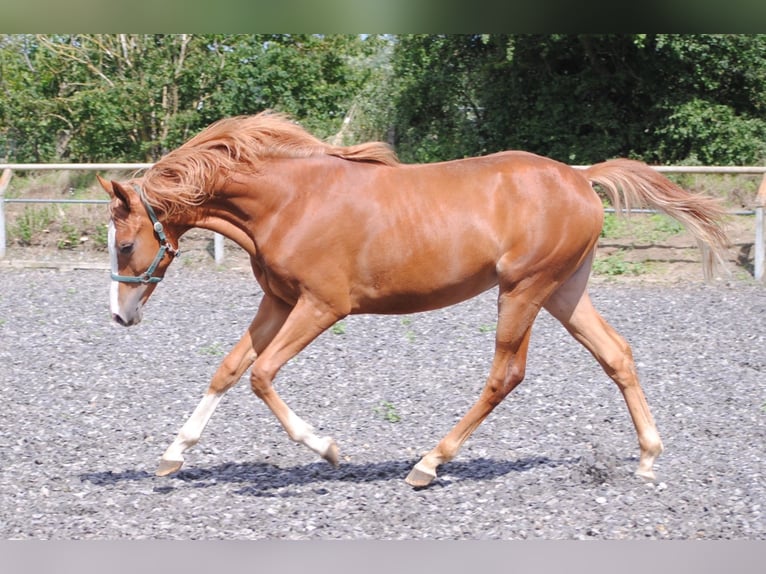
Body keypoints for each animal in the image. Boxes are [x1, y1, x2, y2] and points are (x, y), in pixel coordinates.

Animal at [99, 110, 728, 488]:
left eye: (126, 244)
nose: (120, 314)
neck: (288, 203)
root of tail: (581, 177)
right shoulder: (277, 302)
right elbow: (229, 370)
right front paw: (173, 455)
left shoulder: (323, 306)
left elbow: (262, 375)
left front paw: (327, 448)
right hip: (564, 291)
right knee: (616, 354)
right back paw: (647, 457)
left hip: (524, 290)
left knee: (506, 374)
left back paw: (427, 464)